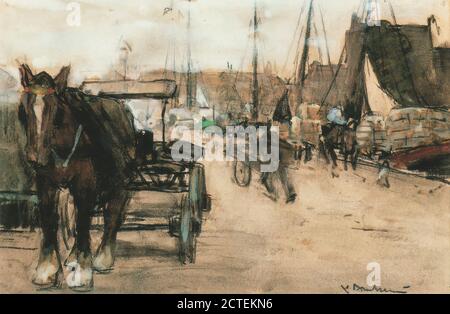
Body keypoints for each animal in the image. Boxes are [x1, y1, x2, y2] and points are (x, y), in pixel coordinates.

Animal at [17, 64, 136, 292]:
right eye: (23, 108)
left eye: (55, 110)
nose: (36, 157)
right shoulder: (46, 184)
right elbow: (50, 220)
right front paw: (46, 270)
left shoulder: (85, 186)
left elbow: (83, 222)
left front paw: (82, 272)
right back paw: (72, 258)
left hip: (120, 182)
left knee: (112, 214)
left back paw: (103, 258)